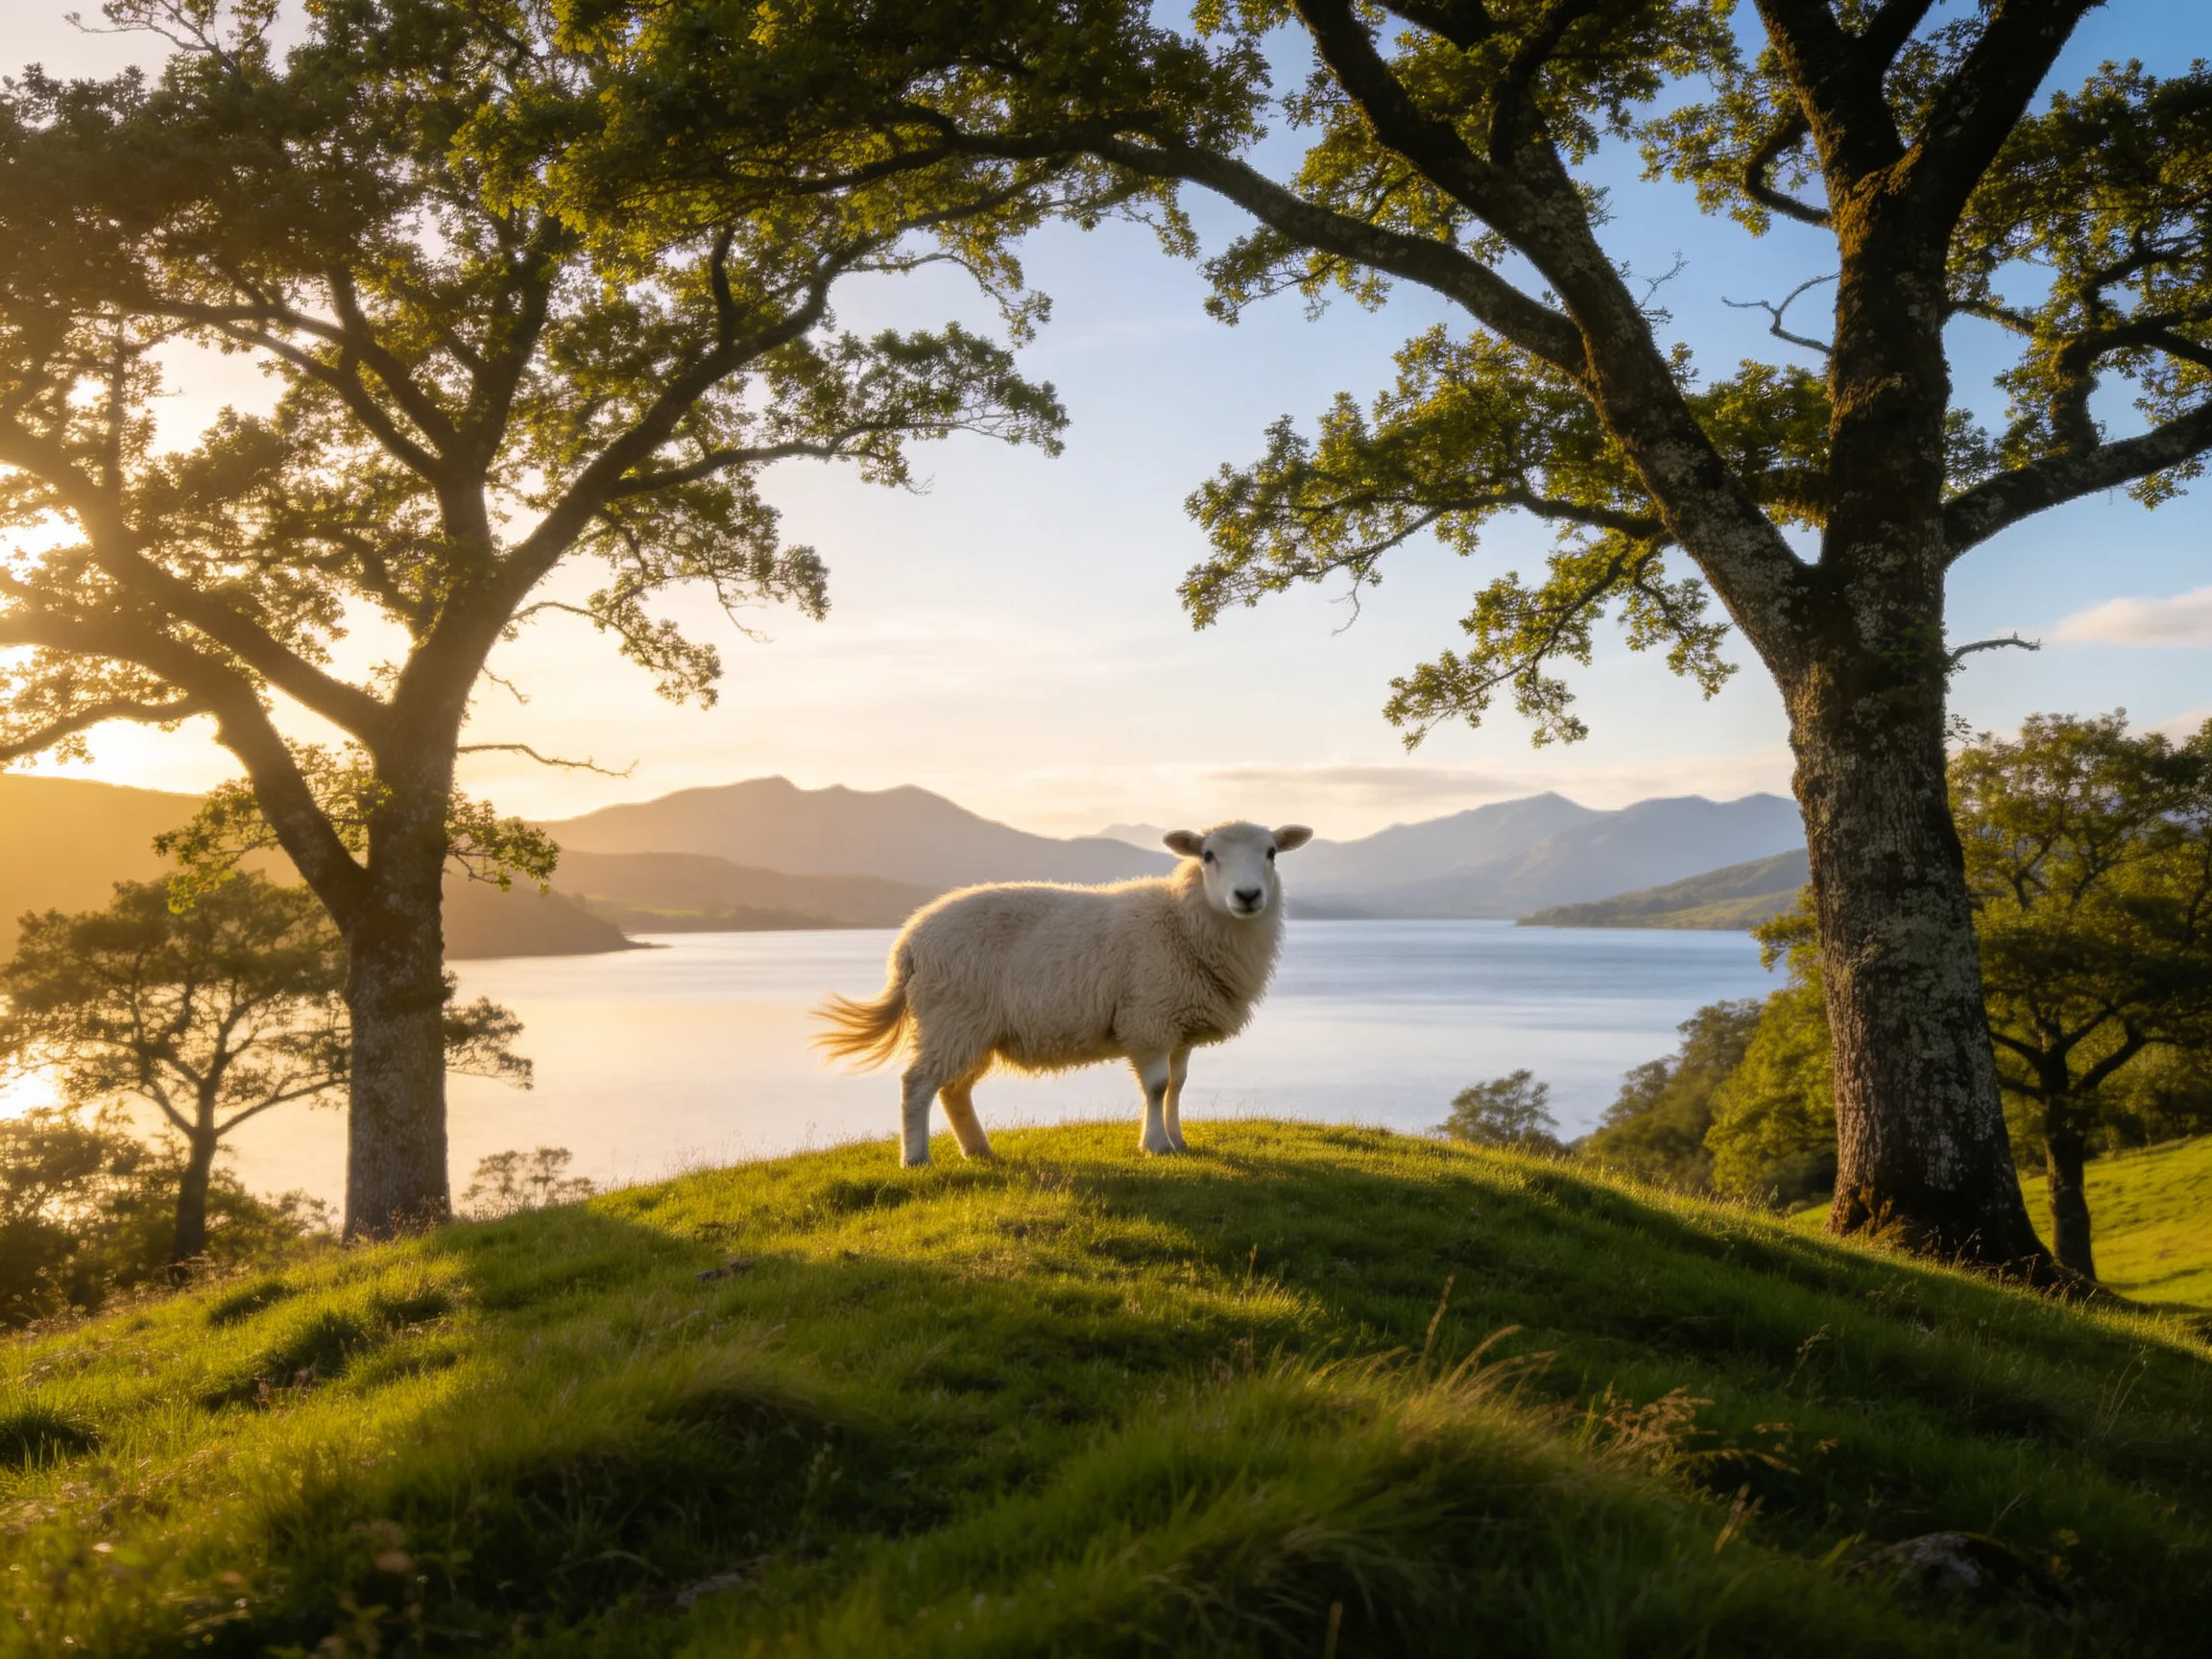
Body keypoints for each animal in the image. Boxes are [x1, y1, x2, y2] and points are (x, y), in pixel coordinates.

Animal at [814, 821, 1313, 1165]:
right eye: (1208, 855)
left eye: (1272, 852)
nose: (1247, 895)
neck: (1181, 922)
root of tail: (908, 941)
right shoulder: (1148, 1018)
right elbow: (1156, 1087)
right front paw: (1155, 1146)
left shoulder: (1177, 1024)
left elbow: (1177, 1085)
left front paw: (1178, 1140)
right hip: (949, 1018)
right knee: (917, 1085)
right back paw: (917, 1158)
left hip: (973, 1029)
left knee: (954, 1090)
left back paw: (979, 1150)